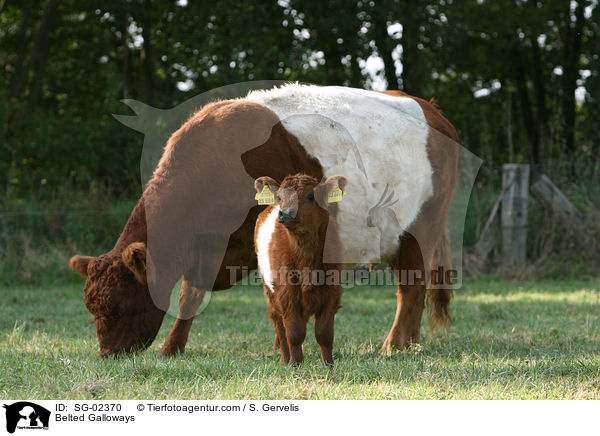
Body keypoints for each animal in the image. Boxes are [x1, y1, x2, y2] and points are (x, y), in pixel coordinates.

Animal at [69, 83, 460, 356]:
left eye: (122, 305)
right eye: (91, 307)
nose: (110, 354)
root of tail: (431, 109)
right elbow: (221, 296)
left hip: (421, 228)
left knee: (411, 288)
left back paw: (394, 345)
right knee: (413, 289)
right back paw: (409, 343)